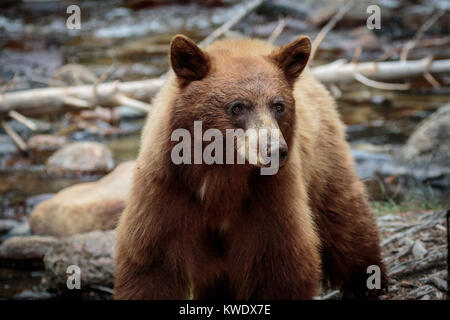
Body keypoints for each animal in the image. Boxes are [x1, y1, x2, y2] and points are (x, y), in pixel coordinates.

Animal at [114, 33, 388, 298]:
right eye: (237, 106)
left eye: (279, 105)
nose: (275, 150)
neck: (221, 175)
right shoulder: (167, 190)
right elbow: (151, 265)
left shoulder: (270, 194)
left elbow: (281, 263)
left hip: (323, 158)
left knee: (342, 214)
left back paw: (366, 282)